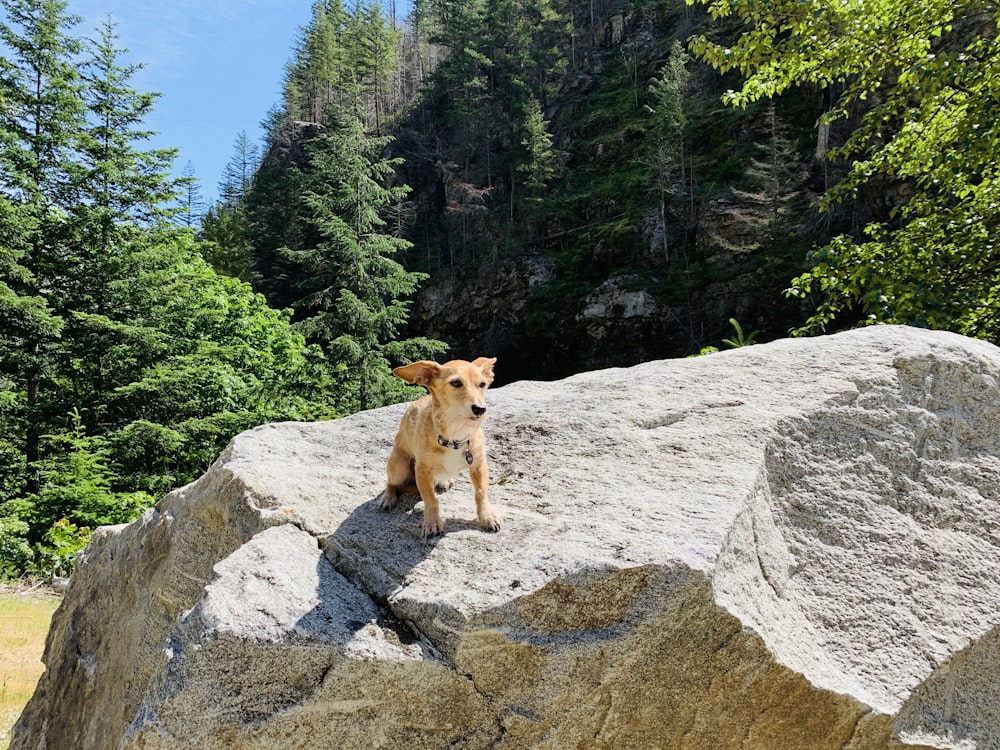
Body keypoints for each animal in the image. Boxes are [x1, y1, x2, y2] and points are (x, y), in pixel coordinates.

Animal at [376, 356, 500, 536]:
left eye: (482, 384)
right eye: (456, 383)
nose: (480, 409)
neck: (455, 433)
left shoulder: (479, 466)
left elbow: (481, 493)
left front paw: (487, 516)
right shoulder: (422, 471)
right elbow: (430, 498)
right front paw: (432, 522)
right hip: (398, 467)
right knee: (391, 481)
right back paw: (388, 497)